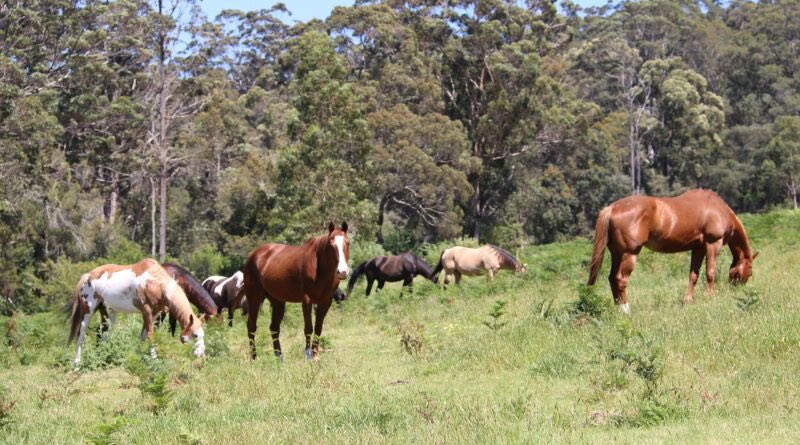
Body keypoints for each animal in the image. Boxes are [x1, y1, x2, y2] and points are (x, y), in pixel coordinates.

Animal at [68, 259, 205, 367]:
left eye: (202, 335)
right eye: (195, 335)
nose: (201, 355)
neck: (155, 282)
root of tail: (87, 276)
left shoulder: (154, 313)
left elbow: (143, 336)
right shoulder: (146, 311)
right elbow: (150, 335)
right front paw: (154, 359)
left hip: (108, 313)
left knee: (103, 333)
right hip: (88, 311)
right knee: (81, 335)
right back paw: (76, 364)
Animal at [243, 222, 350, 361]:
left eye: (347, 243)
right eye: (331, 245)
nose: (343, 272)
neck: (318, 267)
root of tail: (254, 255)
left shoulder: (325, 302)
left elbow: (318, 328)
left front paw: (315, 356)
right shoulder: (307, 300)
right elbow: (308, 328)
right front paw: (308, 355)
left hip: (277, 301)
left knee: (274, 327)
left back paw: (279, 357)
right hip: (254, 297)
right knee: (251, 326)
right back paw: (254, 357)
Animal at [587, 189, 758, 314]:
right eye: (749, 272)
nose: (737, 289)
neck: (717, 209)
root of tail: (611, 208)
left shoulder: (698, 249)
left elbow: (693, 275)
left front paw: (688, 300)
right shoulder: (712, 244)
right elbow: (710, 272)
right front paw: (709, 297)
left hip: (617, 254)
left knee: (611, 278)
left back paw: (618, 308)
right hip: (629, 254)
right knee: (620, 280)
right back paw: (626, 309)